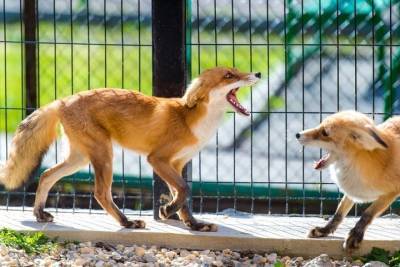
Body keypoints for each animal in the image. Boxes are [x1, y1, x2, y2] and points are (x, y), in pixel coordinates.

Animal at [0, 66, 260, 232]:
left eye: (237, 69)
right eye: (229, 75)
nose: (257, 74)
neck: (192, 121)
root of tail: (63, 100)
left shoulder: (178, 164)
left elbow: (184, 197)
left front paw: (194, 224)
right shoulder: (158, 159)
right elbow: (184, 190)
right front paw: (167, 210)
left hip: (79, 159)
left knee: (45, 175)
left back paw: (39, 213)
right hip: (104, 155)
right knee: (100, 193)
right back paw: (126, 223)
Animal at [296, 111, 400, 253]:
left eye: (325, 133)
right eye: (320, 125)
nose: (297, 134)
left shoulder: (391, 193)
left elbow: (367, 214)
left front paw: (355, 236)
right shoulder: (352, 188)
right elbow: (338, 214)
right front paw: (324, 230)